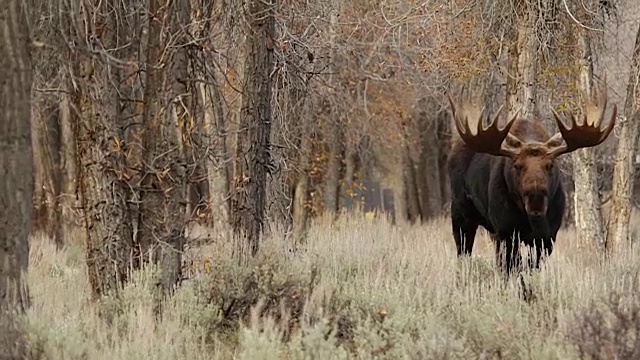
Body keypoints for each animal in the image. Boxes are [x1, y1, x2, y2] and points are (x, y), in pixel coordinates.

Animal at [448, 85, 616, 276]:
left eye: (550, 165)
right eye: (517, 166)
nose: (535, 195)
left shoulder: (548, 236)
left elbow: (531, 265)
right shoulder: (507, 231)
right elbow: (513, 266)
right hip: (461, 214)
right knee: (464, 252)